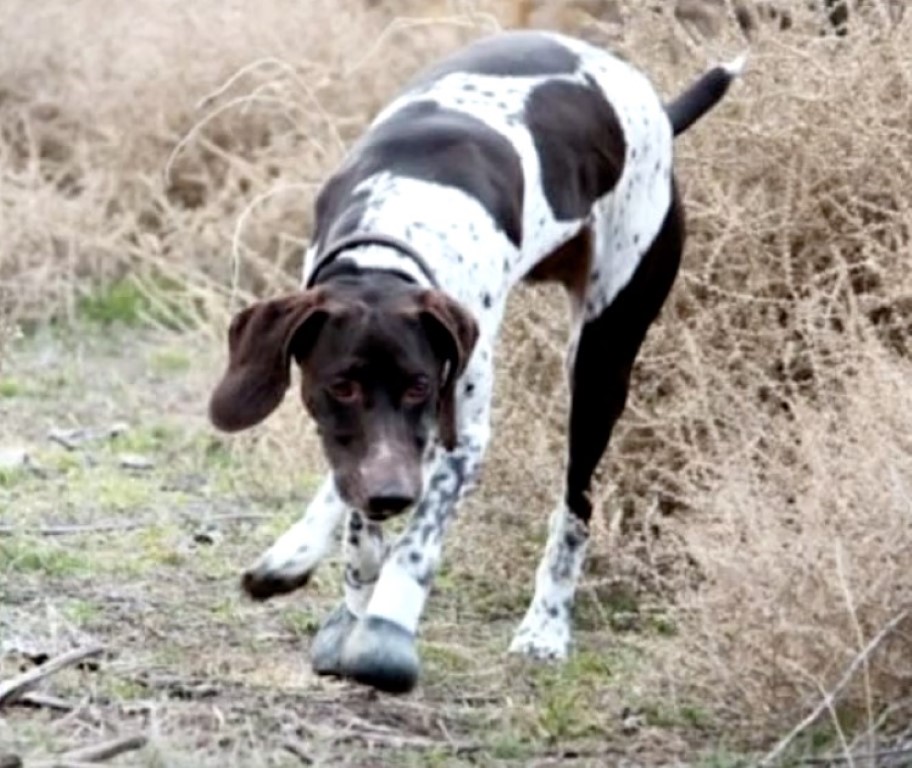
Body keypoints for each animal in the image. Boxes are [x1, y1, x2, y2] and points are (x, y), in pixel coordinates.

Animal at [210, 30, 744, 692]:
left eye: (418, 385)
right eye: (342, 386)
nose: (392, 495)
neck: (392, 237)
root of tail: (654, 107)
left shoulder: (459, 434)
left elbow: (415, 544)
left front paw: (385, 622)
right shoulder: (364, 438)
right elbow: (356, 504)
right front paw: (338, 574)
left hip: (603, 358)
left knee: (576, 504)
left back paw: (545, 626)